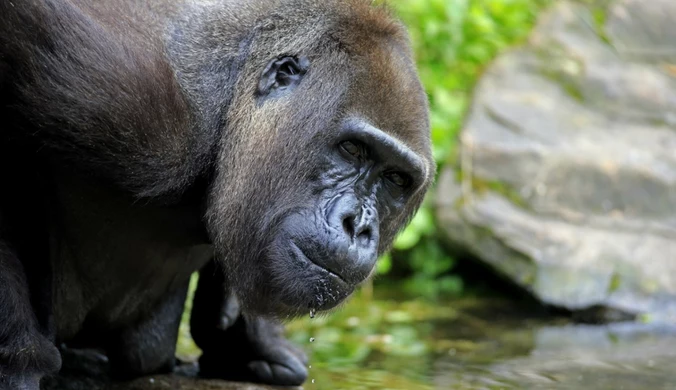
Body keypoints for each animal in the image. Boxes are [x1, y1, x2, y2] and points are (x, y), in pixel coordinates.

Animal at [0, 0, 434, 386]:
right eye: (352, 149)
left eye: (396, 179)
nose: (358, 226)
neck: (230, 103)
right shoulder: (123, 98)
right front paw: (20, 360)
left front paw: (246, 343)